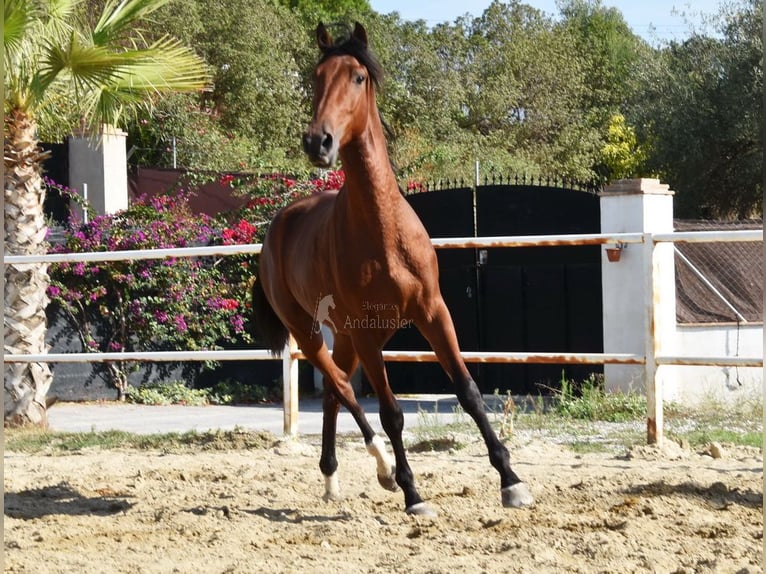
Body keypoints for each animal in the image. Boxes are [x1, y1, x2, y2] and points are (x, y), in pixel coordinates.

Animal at [252, 22, 536, 516]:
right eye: (315, 77)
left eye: (357, 77)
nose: (318, 142)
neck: (383, 229)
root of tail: (276, 230)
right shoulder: (369, 334)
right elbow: (391, 412)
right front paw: (413, 493)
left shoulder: (433, 312)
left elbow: (469, 392)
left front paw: (511, 480)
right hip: (310, 331)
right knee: (343, 388)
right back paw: (382, 469)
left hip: (346, 336)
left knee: (334, 393)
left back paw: (332, 480)